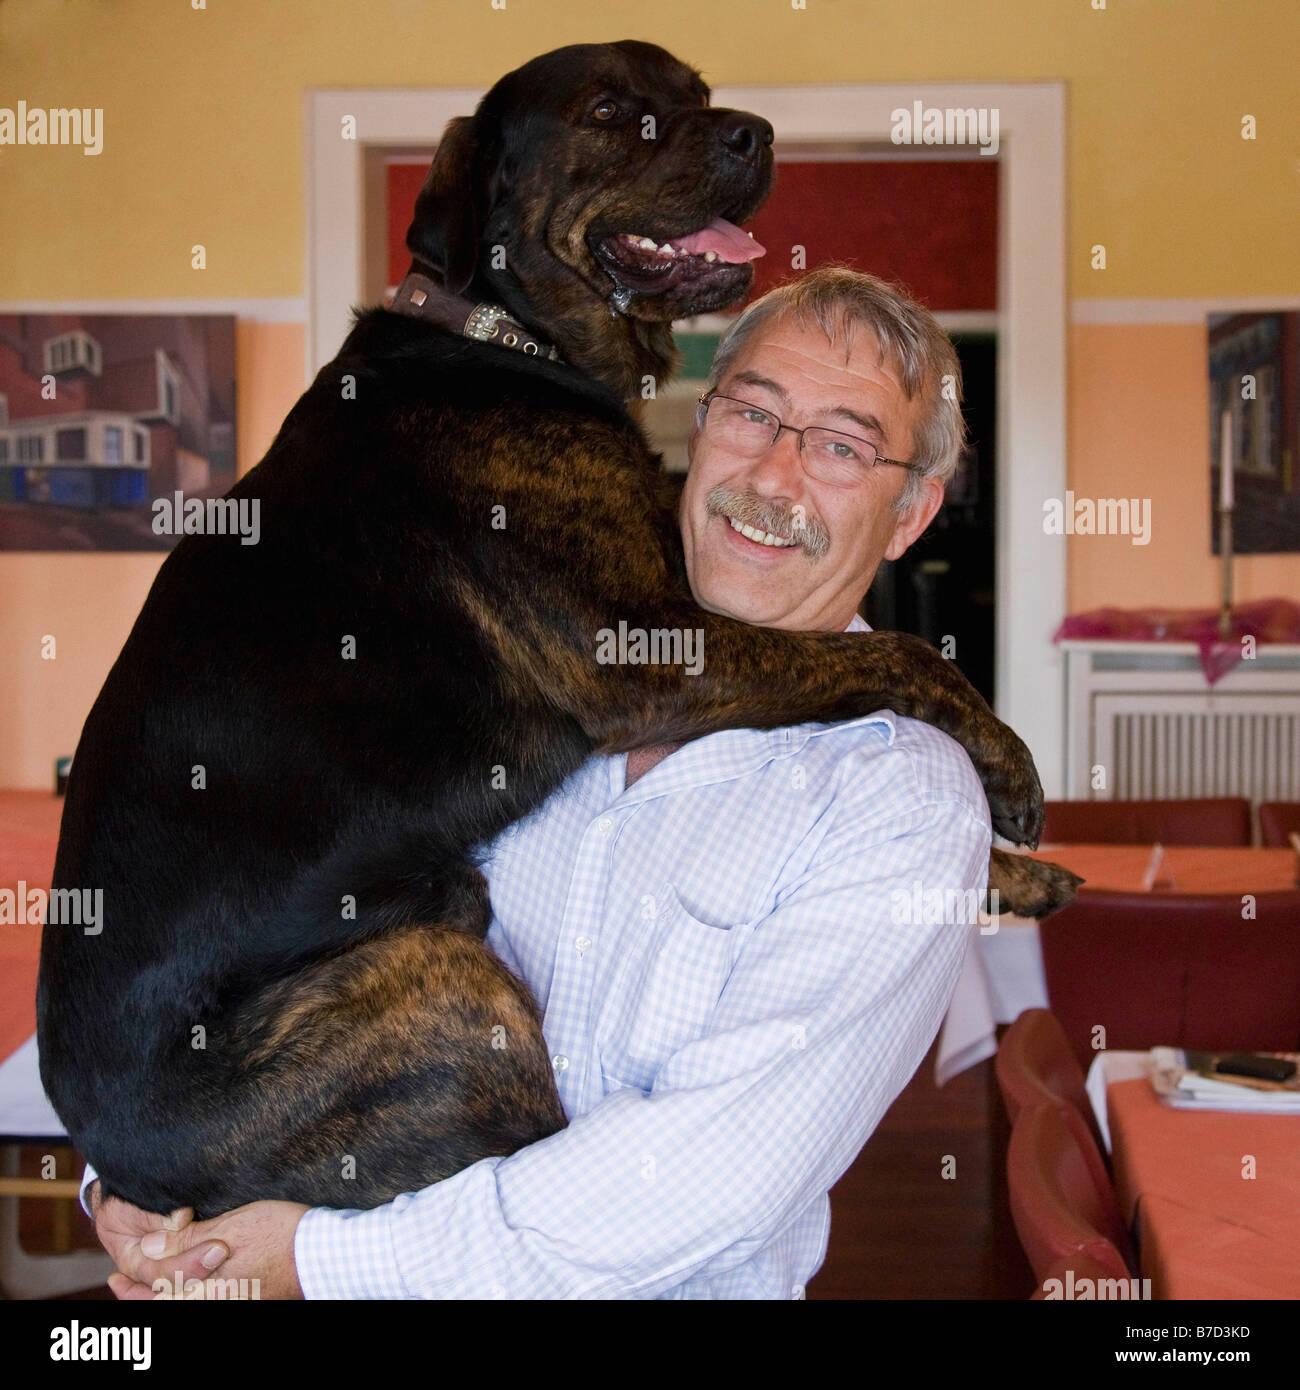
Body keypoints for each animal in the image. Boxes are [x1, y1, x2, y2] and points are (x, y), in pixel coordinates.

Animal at [40, 40, 1078, 1217]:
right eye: (610, 111)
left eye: (697, 91)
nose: (757, 132)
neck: (513, 337)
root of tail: (122, 1163)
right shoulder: (644, 648)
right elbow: (887, 651)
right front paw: (1007, 766)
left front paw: (1011, 869)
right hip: (444, 992)